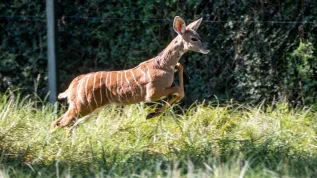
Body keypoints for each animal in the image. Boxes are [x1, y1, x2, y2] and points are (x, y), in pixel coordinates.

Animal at [51, 16, 210, 130]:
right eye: (194, 38)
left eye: (199, 36)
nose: (207, 48)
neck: (163, 65)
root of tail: (73, 85)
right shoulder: (151, 93)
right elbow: (179, 90)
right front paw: (151, 114)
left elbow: (180, 75)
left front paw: (151, 114)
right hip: (82, 105)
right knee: (58, 123)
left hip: (91, 108)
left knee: (70, 125)